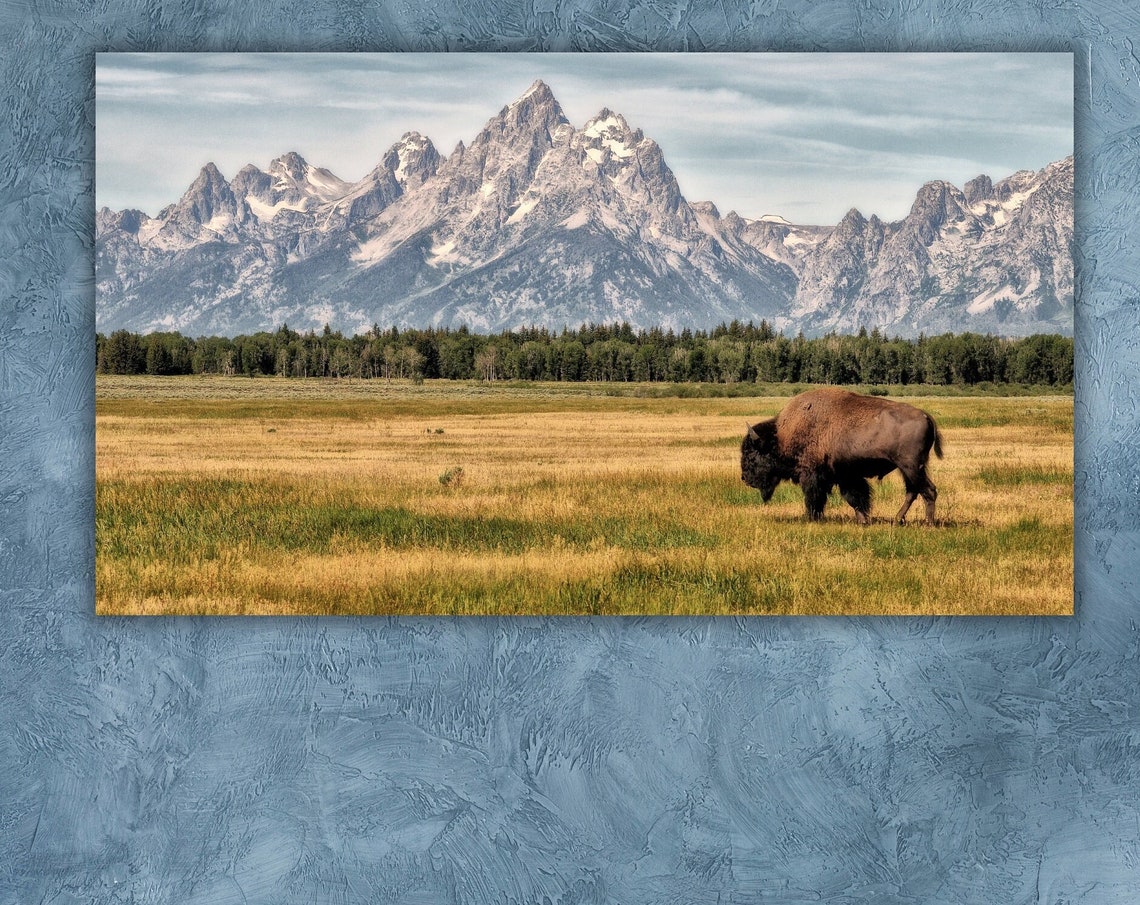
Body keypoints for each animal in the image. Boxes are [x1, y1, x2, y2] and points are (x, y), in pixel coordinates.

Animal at [741, 388, 943, 525]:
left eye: (751, 455)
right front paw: (863, 520)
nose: (744, 478)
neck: (781, 436)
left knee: (928, 490)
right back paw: (897, 519)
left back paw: (928, 523)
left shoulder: (813, 475)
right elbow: (855, 498)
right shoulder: (846, 476)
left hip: (911, 467)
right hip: (908, 469)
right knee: (913, 491)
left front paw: (812, 518)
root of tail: (925, 416)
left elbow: (815, 498)